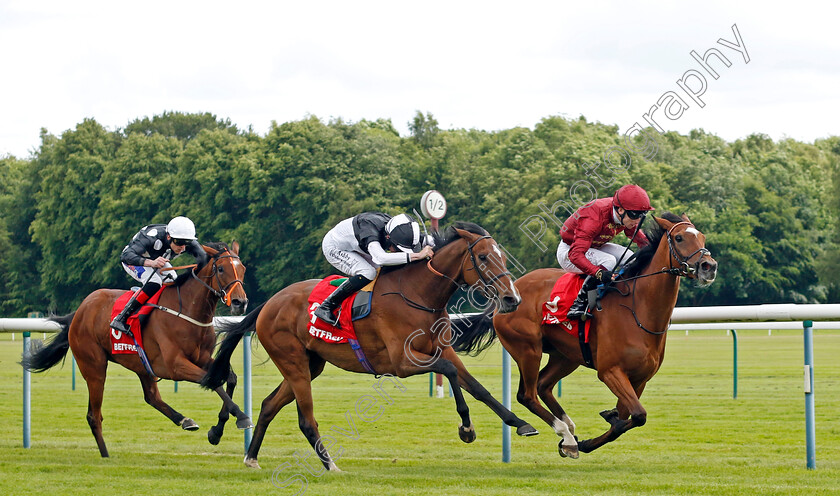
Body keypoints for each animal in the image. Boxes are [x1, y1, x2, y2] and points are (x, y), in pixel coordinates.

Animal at [23, 242, 251, 456]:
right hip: (94, 366)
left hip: (141, 363)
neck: (187, 310)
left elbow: (229, 378)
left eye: (243, 269)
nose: (240, 302)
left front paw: (217, 431)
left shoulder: (201, 358)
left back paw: (184, 420)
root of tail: (79, 311)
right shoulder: (174, 366)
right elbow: (211, 380)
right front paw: (240, 417)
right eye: (220, 269)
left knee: (151, 397)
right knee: (94, 415)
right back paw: (106, 456)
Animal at [200, 223, 536, 470]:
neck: (418, 294)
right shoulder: (402, 362)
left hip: (310, 364)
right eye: (483, 258)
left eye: (502, 257)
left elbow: (478, 387)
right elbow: (450, 372)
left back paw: (251, 457)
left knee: (270, 405)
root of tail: (269, 304)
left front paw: (520, 423)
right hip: (293, 362)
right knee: (306, 419)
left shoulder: (443, 349)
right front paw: (466, 428)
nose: (512, 299)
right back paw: (330, 465)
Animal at [452, 212, 716, 458]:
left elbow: (627, 418)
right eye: (679, 238)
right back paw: (566, 435)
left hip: (566, 356)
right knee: (527, 395)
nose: (709, 266)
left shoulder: (640, 379)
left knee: (543, 385)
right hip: (528, 350)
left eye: (702, 236)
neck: (638, 310)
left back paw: (568, 430)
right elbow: (637, 416)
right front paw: (590, 436)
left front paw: (599, 428)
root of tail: (507, 297)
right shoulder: (610, 371)